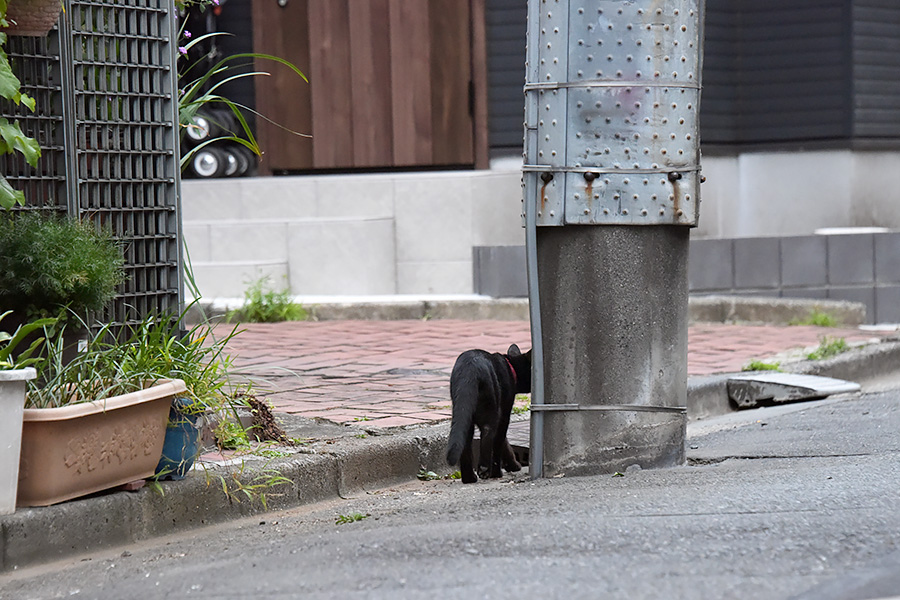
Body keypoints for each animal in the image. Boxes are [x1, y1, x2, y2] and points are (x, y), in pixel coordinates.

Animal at [446, 342, 532, 482]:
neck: (510, 366)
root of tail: (470, 369)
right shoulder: (504, 414)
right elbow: (500, 442)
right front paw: (511, 466)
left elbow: (505, 443)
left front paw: (512, 465)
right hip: (491, 407)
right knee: (488, 433)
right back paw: (488, 471)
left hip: (464, 413)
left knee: (465, 440)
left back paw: (469, 478)